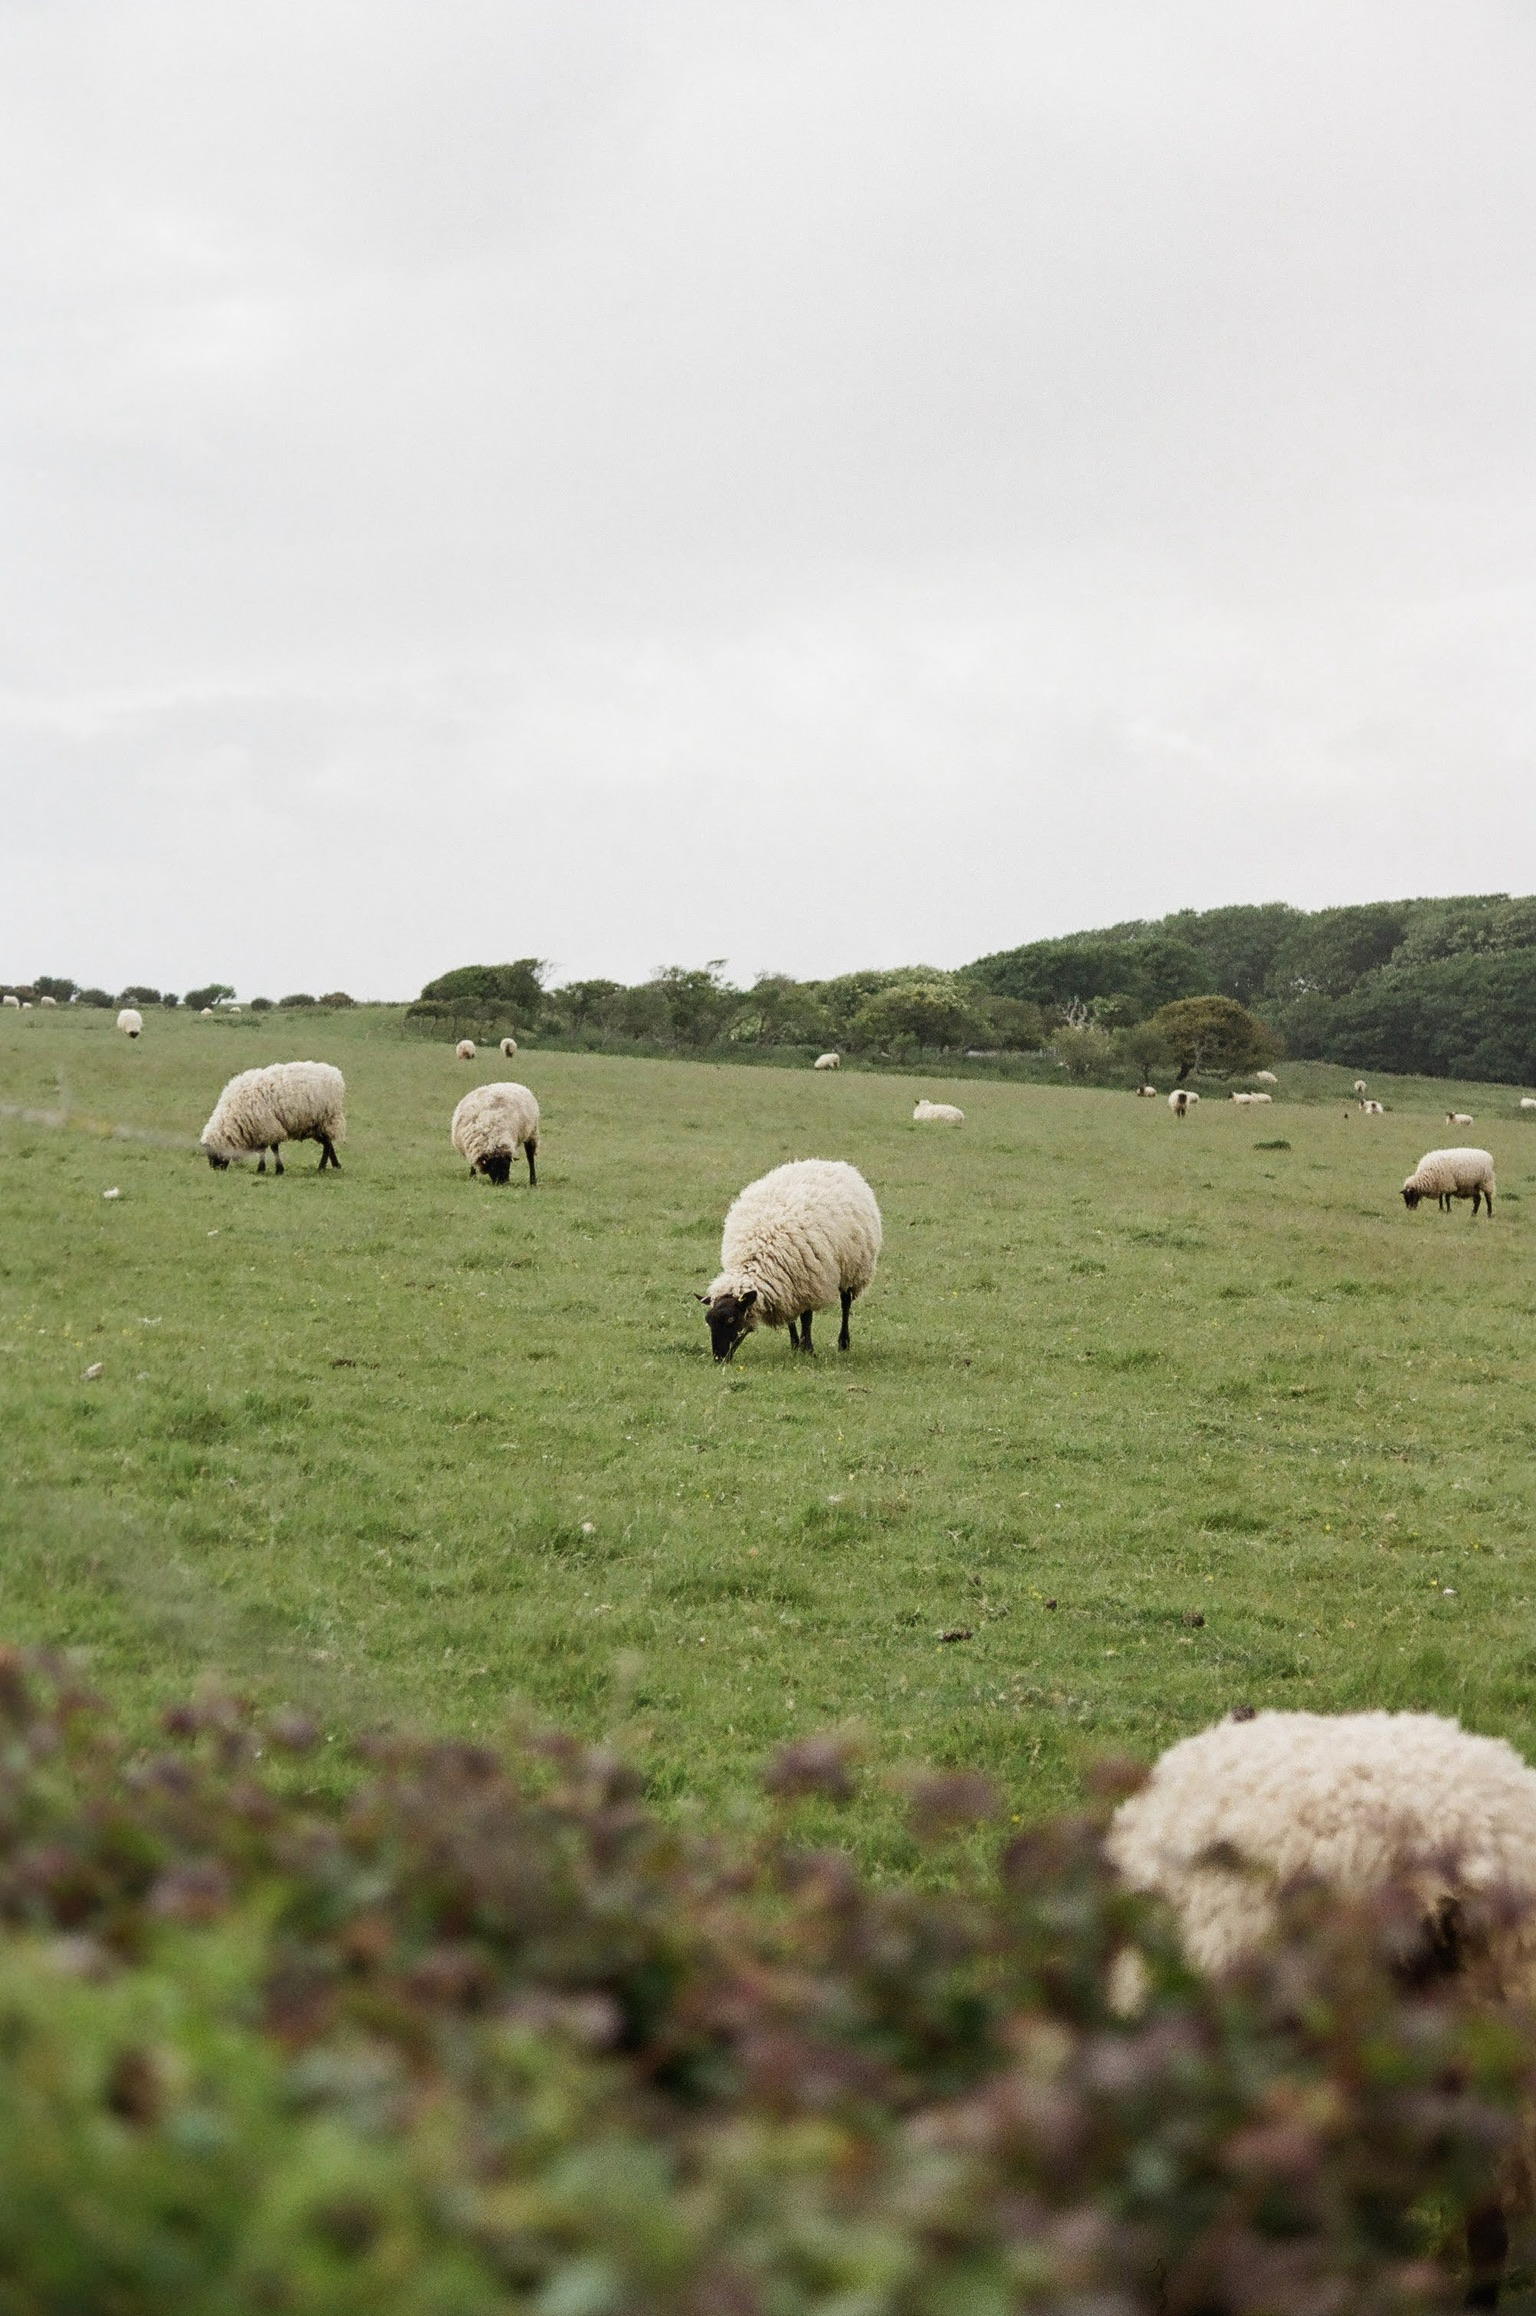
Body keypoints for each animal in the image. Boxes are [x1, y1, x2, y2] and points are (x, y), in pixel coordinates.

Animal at [200, 1061, 346, 1175]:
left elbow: (273, 1149)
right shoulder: (261, 1129)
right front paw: (264, 1169)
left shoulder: (268, 1126)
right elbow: (263, 1150)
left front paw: (276, 1169)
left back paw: (322, 1167)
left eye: (212, 1153)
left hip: (326, 1118)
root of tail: (335, 1074)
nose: (216, 1170)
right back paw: (335, 1165)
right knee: (328, 1142)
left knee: (327, 1143)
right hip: (314, 1125)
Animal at [699, 1158, 881, 1362]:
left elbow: (807, 1317)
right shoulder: (787, 1283)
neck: (757, 1255)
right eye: (708, 1321)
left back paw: (844, 1343)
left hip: (853, 1266)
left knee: (845, 1303)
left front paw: (808, 1349)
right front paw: (795, 1346)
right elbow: (791, 1318)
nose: (719, 1358)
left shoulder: (809, 1280)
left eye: (731, 1319)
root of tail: (830, 1163)